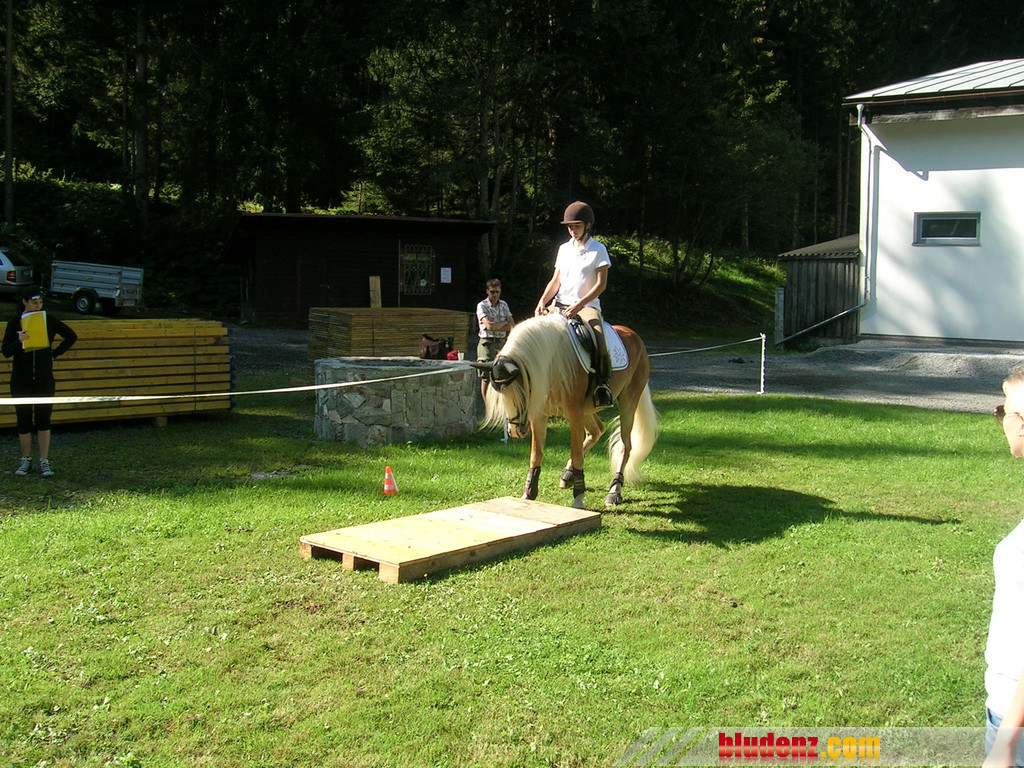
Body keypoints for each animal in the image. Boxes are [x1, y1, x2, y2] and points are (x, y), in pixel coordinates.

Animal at [473, 313, 658, 508]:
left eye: (522, 392)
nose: (514, 431)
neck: (551, 364)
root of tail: (635, 336)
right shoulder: (539, 416)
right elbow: (536, 455)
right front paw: (528, 494)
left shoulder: (574, 414)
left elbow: (576, 454)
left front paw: (578, 499)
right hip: (588, 410)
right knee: (597, 430)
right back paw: (567, 474)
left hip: (627, 402)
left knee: (625, 445)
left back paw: (614, 491)